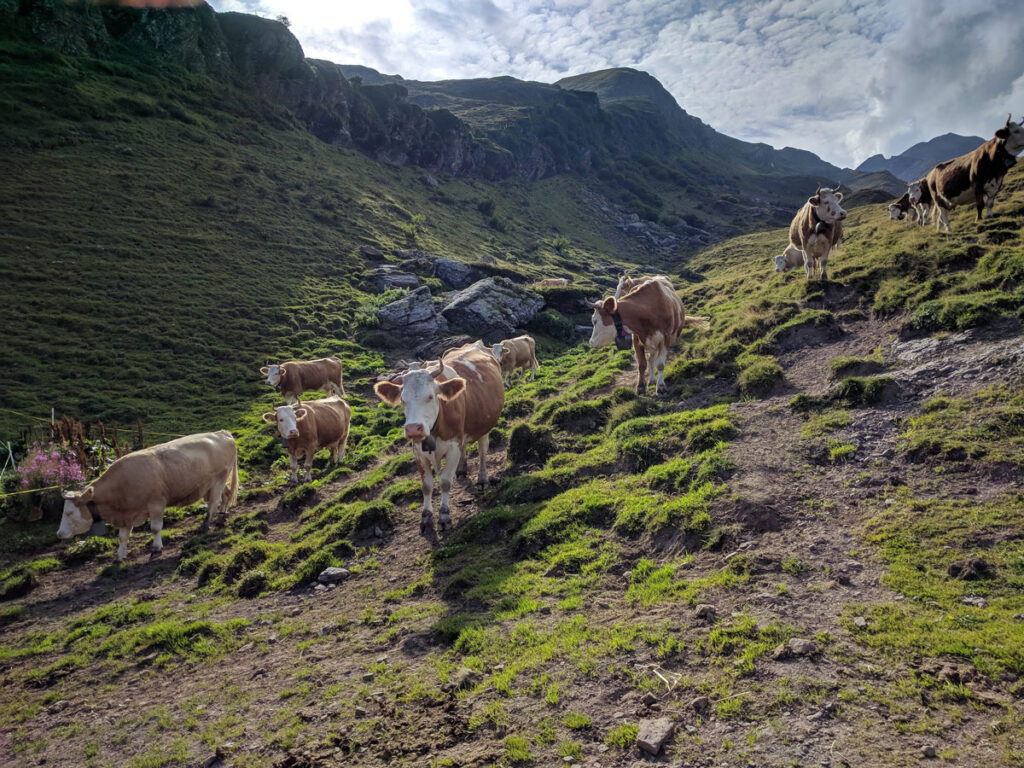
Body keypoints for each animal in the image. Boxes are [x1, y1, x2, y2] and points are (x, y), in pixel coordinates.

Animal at [58, 431, 238, 563]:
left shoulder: (156, 503)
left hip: (219, 479)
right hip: (216, 483)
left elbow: (155, 528)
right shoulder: (127, 514)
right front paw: (120, 556)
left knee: (214, 502)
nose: (59, 534)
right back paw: (221, 517)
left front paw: (156, 548)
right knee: (226, 496)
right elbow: (123, 536)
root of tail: (222, 433)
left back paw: (206, 524)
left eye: (69, 513)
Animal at [373, 342, 504, 532]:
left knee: (482, 450)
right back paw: (461, 470)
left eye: (430, 396)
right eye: (403, 400)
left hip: (485, 425)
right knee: (465, 448)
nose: (413, 428)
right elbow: (427, 485)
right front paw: (426, 517)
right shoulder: (418, 452)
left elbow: (445, 482)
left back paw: (482, 479)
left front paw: (444, 516)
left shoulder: (453, 447)